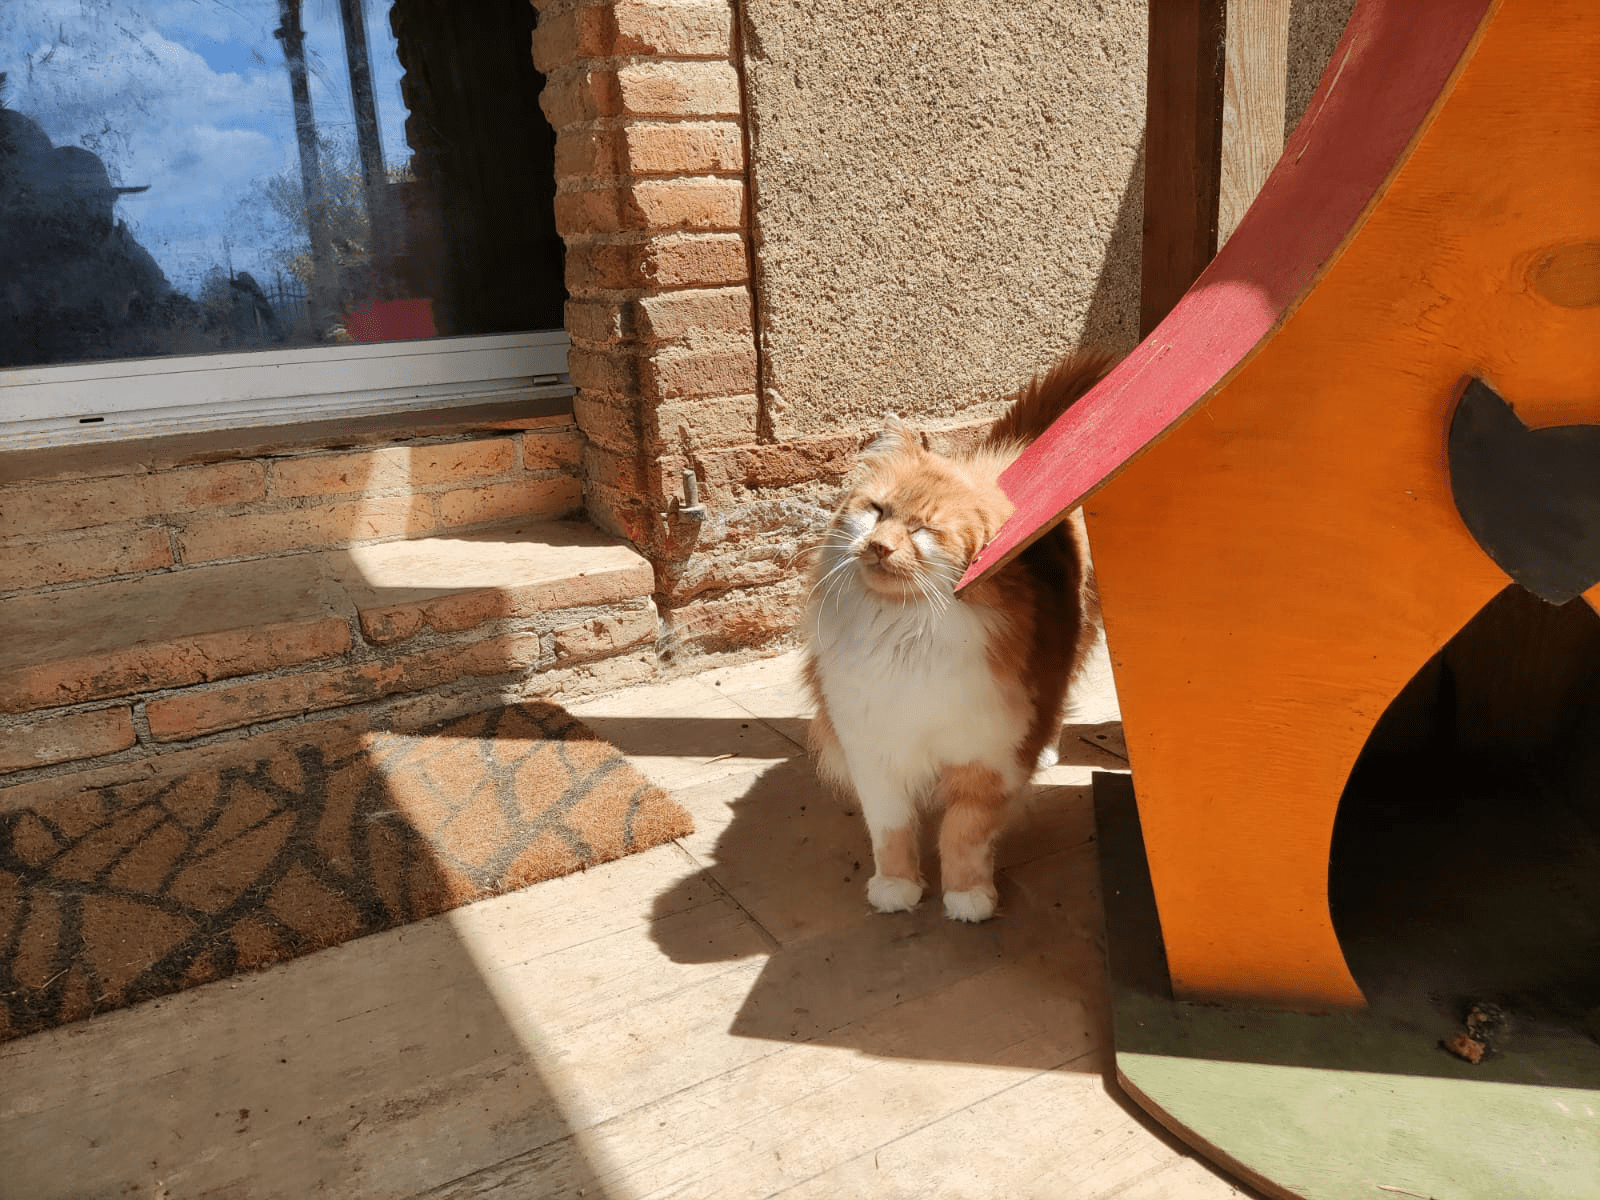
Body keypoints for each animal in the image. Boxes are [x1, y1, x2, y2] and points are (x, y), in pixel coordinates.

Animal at [806, 352, 1107, 928]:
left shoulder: (985, 758)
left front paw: (968, 900)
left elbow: (962, 836)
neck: (905, 632)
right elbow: (892, 835)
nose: (878, 547)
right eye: (877, 512)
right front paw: (897, 890)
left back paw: (1047, 753)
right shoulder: (875, 754)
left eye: (923, 531)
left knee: (1056, 711)